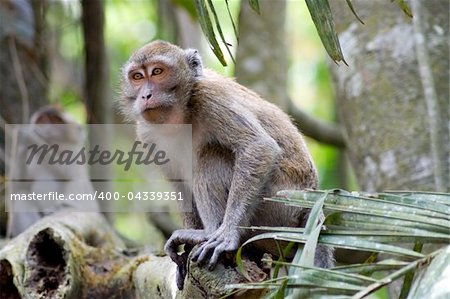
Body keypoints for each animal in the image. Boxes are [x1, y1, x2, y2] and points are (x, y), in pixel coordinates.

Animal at [120, 40, 334, 290]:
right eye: (137, 77)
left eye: (157, 72)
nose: (146, 94)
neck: (181, 113)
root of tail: (310, 207)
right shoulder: (146, 133)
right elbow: (179, 184)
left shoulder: (210, 98)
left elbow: (259, 146)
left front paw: (226, 234)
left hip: (279, 207)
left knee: (213, 155)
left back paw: (210, 233)